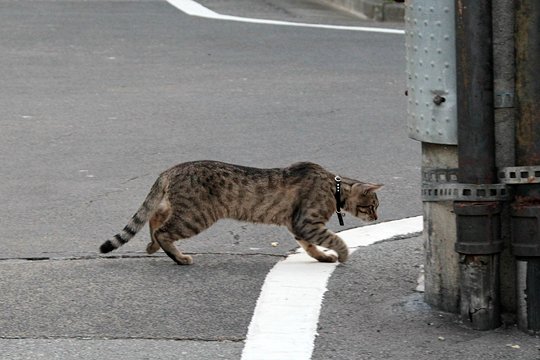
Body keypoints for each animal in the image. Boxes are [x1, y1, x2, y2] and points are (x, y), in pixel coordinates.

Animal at [99, 160, 382, 264]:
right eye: (372, 206)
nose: (377, 217)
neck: (334, 187)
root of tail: (171, 169)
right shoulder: (307, 223)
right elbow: (333, 239)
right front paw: (342, 254)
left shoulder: (297, 225)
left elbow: (310, 246)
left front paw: (322, 257)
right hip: (196, 216)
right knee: (163, 230)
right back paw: (178, 257)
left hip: (179, 209)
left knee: (155, 218)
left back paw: (151, 247)